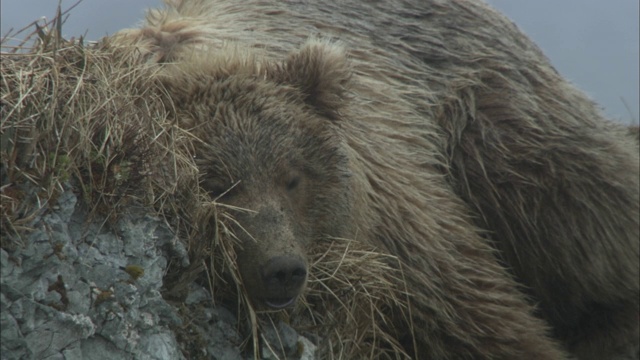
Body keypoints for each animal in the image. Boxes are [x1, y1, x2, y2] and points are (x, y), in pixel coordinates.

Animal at [115, 0, 640, 358]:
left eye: (292, 178)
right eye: (218, 184)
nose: (282, 268)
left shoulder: (394, 206)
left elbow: (470, 305)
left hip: (490, 116)